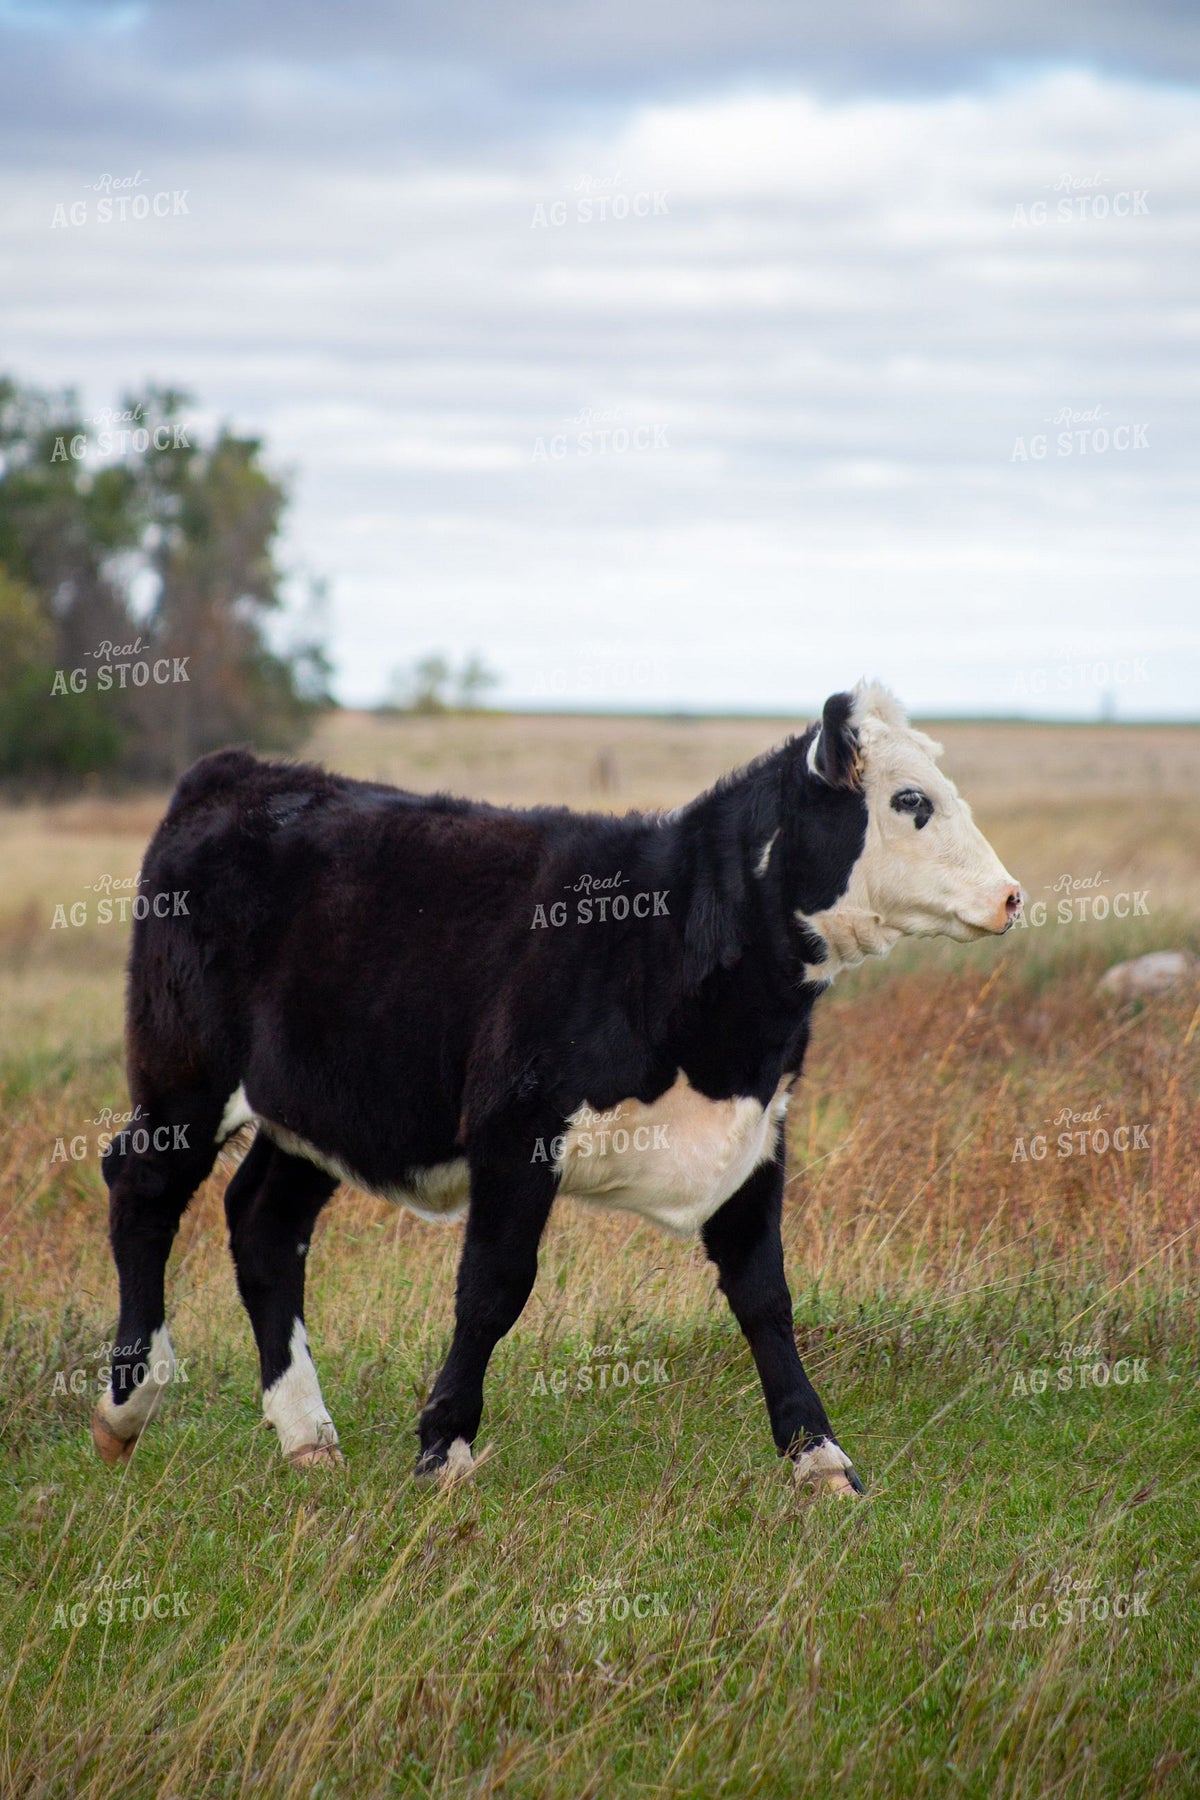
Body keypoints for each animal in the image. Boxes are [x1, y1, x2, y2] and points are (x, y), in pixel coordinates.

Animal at [91, 682, 1021, 1495]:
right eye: (910, 801)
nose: (1011, 895)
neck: (666, 936)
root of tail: (240, 773)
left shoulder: (756, 1136)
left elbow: (765, 1294)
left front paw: (819, 1455)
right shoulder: (516, 1132)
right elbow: (493, 1287)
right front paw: (444, 1447)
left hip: (321, 1105)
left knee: (263, 1225)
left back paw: (307, 1436)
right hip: (184, 1079)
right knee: (140, 1185)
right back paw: (128, 1401)